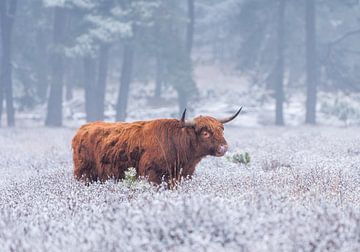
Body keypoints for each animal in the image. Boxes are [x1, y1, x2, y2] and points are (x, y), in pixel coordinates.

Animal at [71, 107, 242, 184]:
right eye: (205, 133)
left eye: (221, 130)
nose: (223, 148)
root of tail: (82, 129)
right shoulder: (151, 173)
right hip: (84, 173)